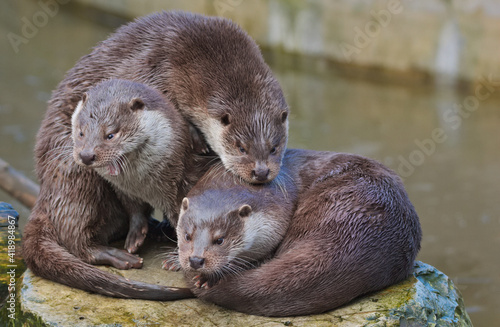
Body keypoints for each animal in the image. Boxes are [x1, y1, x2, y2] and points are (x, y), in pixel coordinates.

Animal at [22, 79, 207, 300]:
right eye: (81, 132)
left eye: (110, 135)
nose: (86, 155)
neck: (147, 186)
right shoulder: (125, 191)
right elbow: (134, 210)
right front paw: (136, 235)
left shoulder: (187, 184)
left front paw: (177, 259)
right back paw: (117, 254)